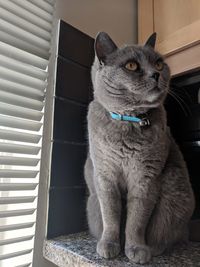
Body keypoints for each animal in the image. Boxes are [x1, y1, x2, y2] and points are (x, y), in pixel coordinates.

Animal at [84, 32, 194, 264]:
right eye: (132, 65)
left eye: (159, 63)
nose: (156, 74)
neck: (130, 120)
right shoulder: (105, 176)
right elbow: (111, 217)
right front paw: (109, 245)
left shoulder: (146, 178)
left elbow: (136, 220)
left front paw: (136, 249)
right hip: (92, 203)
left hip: (174, 190)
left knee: (169, 234)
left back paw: (154, 249)